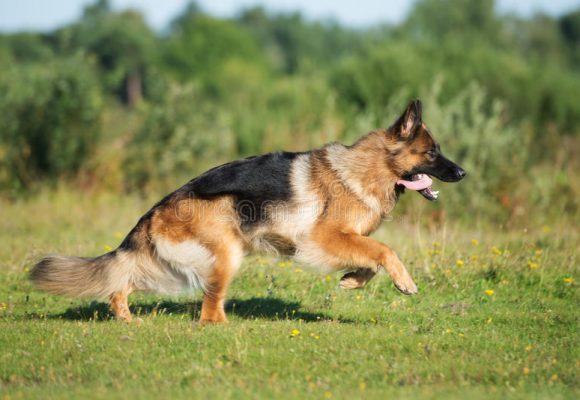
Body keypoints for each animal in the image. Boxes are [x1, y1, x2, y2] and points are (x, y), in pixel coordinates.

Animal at [31, 100, 466, 322]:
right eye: (432, 153)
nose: (463, 173)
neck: (364, 170)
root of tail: (155, 210)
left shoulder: (342, 239)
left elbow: (370, 257)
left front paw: (352, 281)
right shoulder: (322, 238)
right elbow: (383, 250)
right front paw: (402, 281)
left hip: (170, 269)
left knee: (122, 281)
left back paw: (125, 317)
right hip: (224, 257)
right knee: (207, 309)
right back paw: (220, 328)